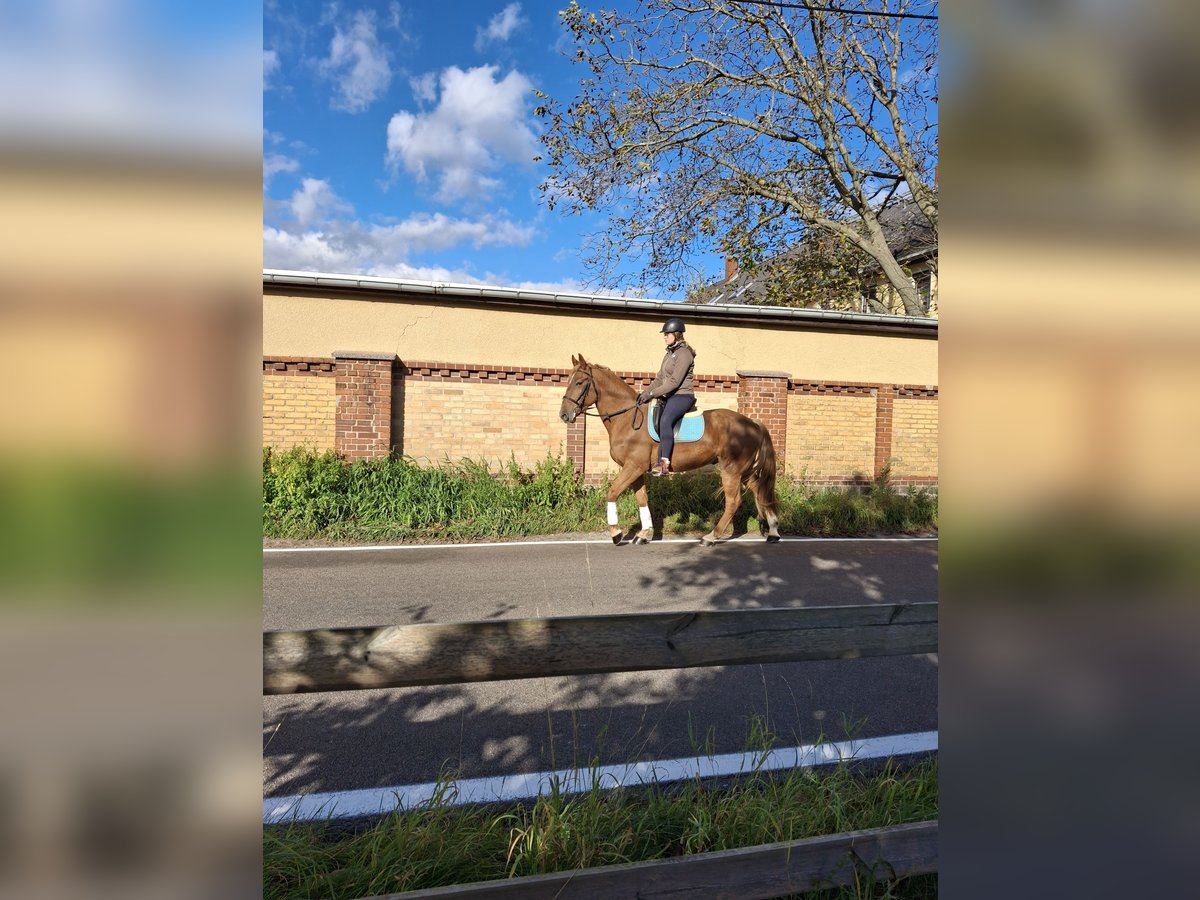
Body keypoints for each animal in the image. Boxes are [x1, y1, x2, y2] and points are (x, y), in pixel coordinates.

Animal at [559, 354, 781, 546]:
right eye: (568, 380)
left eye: (579, 382)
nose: (564, 415)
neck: (627, 419)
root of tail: (752, 424)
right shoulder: (637, 470)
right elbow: (642, 499)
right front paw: (643, 534)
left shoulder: (633, 467)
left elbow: (612, 493)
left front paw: (616, 533)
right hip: (745, 472)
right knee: (760, 492)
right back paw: (773, 532)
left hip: (731, 470)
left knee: (734, 501)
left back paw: (710, 537)